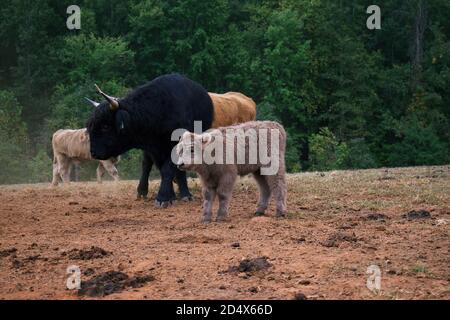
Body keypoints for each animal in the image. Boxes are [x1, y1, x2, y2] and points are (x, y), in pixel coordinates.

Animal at [89, 73, 215, 208]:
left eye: (105, 126)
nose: (93, 152)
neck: (158, 111)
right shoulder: (153, 148)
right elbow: (160, 168)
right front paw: (170, 196)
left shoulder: (174, 146)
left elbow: (168, 169)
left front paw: (163, 197)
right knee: (146, 164)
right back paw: (142, 190)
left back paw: (185, 194)